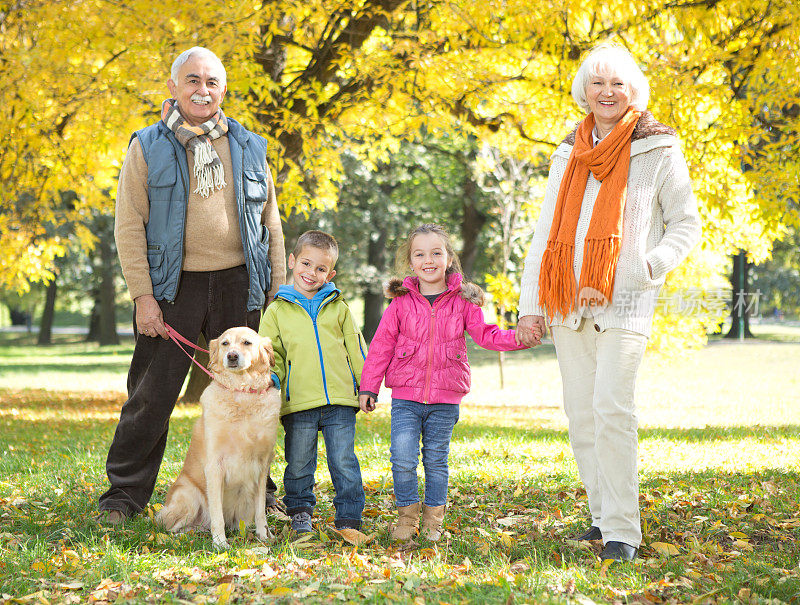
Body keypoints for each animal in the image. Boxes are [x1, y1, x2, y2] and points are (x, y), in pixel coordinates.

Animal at [156, 326, 282, 548]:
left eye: (247, 343)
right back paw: (184, 538)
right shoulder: (214, 465)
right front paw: (220, 544)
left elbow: (261, 511)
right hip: (189, 496)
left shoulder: (262, 467)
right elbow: (217, 514)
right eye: (225, 343)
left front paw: (264, 536)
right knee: (172, 528)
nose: (232, 356)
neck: (241, 392)